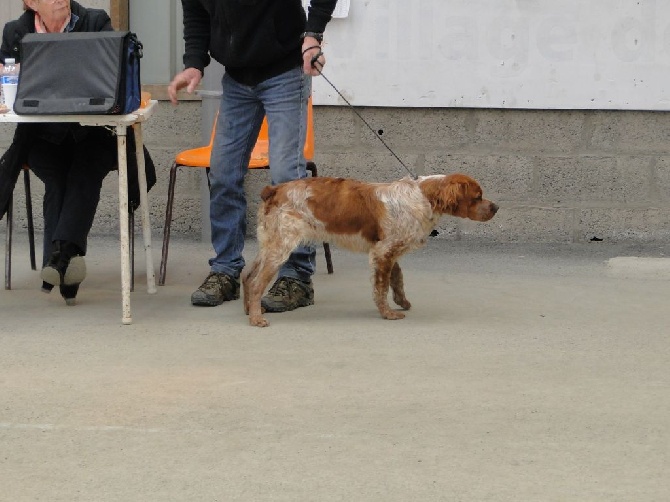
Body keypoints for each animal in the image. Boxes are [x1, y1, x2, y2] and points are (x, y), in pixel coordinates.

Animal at [242, 175, 498, 328]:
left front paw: (402, 302)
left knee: (247, 275)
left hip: (270, 244)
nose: (496, 207)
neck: (423, 197)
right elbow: (381, 288)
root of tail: (273, 190)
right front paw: (388, 313)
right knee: (256, 283)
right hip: (281, 246)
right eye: (477, 197)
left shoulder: (390, 250)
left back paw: (249, 310)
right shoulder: (382, 252)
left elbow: (397, 280)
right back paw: (256, 318)